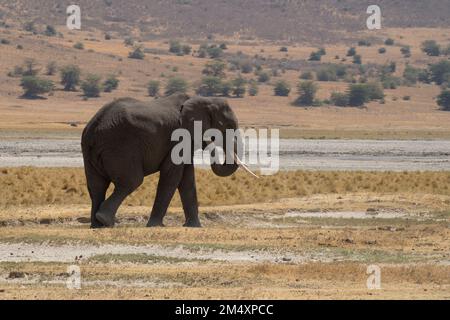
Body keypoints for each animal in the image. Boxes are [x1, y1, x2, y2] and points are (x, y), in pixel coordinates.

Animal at [81, 92, 255, 228]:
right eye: (226, 125)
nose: (211, 143)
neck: (202, 99)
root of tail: (94, 127)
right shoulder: (179, 138)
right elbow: (172, 176)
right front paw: (155, 225)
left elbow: (187, 179)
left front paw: (194, 226)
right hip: (120, 147)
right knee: (131, 181)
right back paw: (105, 220)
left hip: (90, 151)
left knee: (96, 186)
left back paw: (97, 225)